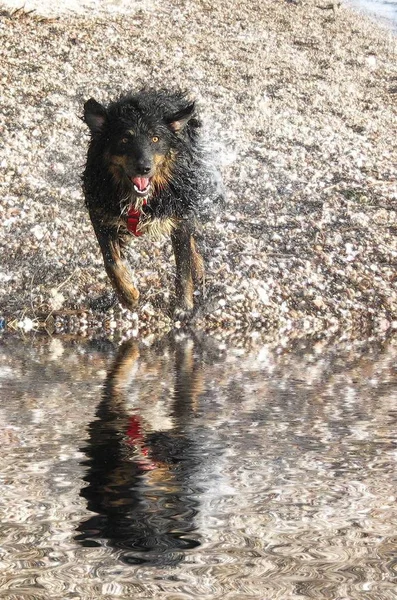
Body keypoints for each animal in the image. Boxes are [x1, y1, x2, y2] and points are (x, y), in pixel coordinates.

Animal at [82, 89, 220, 316]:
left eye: (155, 138)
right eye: (124, 139)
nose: (144, 168)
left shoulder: (179, 214)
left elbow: (183, 267)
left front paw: (183, 306)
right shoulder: (101, 213)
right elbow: (110, 261)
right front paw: (128, 295)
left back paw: (197, 265)